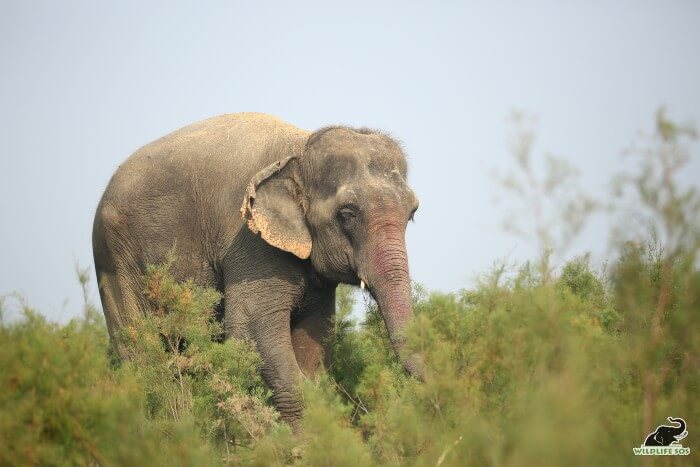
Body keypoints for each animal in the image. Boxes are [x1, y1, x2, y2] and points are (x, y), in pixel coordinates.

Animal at [91, 113, 422, 432]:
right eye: (348, 213)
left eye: (412, 214)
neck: (300, 149)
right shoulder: (250, 243)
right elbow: (252, 330)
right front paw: (299, 444)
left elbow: (312, 343)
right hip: (117, 262)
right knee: (141, 353)